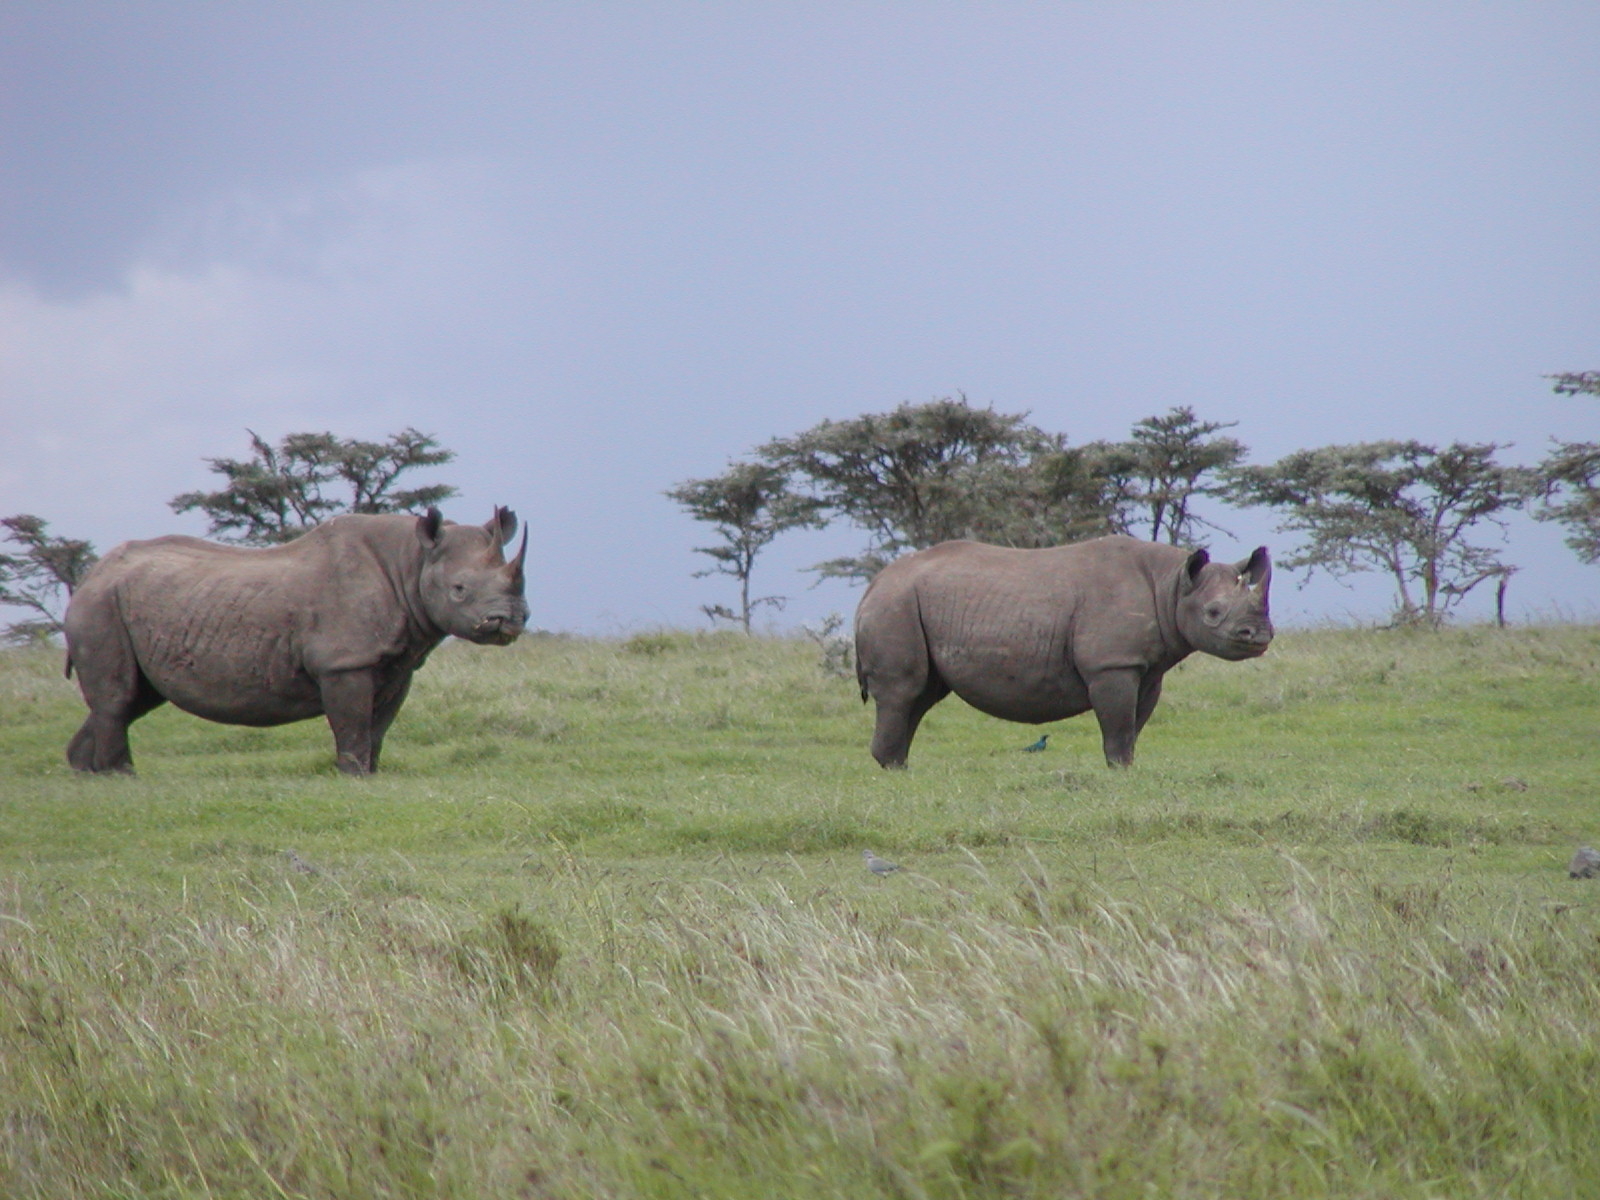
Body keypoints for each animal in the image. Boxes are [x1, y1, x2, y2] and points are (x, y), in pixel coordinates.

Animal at [63, 507, 529, 775]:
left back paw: (87, 773)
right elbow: (353, 724)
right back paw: (122, 776)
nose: (508, 621)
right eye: (459, 590)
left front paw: (373, 773)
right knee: (119, 697)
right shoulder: (344, 661)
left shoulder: (397, 664)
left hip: (123, 602)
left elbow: (378, 726)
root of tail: (89, 576)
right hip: (100, 607)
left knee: (134, 699)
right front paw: (353, 776)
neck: (411, 562)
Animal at [853, 535, 1272, 768]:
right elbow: (1118, 727)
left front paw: (1127, 767)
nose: (1260, 635)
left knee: (922, 695)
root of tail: (874, 584)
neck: (1171, 585)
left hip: (910, 603)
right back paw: (894, 771)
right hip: (896, 604)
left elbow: (1134, 727)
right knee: (903, 690)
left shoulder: (1148, 669)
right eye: (1213, 613)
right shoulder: (1111, 664)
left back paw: (900, 768)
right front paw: (1119, 772)